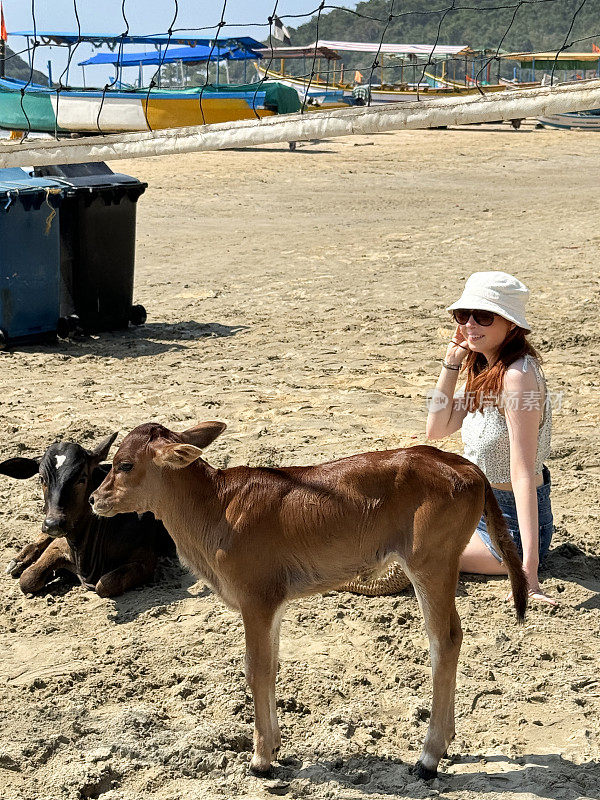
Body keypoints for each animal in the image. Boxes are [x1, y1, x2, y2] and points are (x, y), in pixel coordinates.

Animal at [91, 422, 528, 780]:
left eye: (125, 464)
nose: (96, 499)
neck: (218, 508)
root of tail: (466, 467)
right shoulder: (274, 604)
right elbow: (272, 665)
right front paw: (275, 746)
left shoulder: (256, 598)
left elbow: (255, 669)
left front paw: (260, 760)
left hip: (430, 564)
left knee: (444, 640)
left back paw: (428, 757)